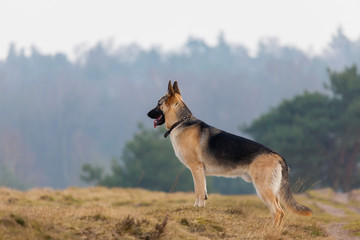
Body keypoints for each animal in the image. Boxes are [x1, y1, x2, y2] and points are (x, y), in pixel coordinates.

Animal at [148, 80, 310, 225]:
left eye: (158, 104)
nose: (147, 113)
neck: (181, 122)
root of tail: (277, 155)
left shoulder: (196, 169)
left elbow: (198, 191)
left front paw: (198, 208)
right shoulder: (199, 171)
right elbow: (203, 192)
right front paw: (199, 207)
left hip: (264, 189)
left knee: (278, 212)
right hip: (272, 190)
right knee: (280, 213)